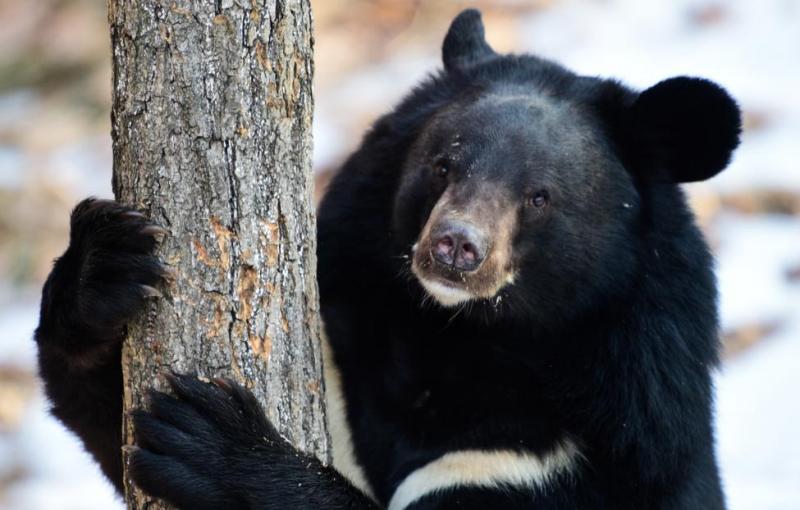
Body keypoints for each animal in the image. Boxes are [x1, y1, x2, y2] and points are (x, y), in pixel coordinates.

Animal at [36, 8, 736, 510]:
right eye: (444, 163)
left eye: (540, 197)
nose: (454, 246)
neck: (458, 339)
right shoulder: (342, 351)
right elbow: (109, 424)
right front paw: (108, 265)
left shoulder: (572, 459)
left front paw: (208, 441)